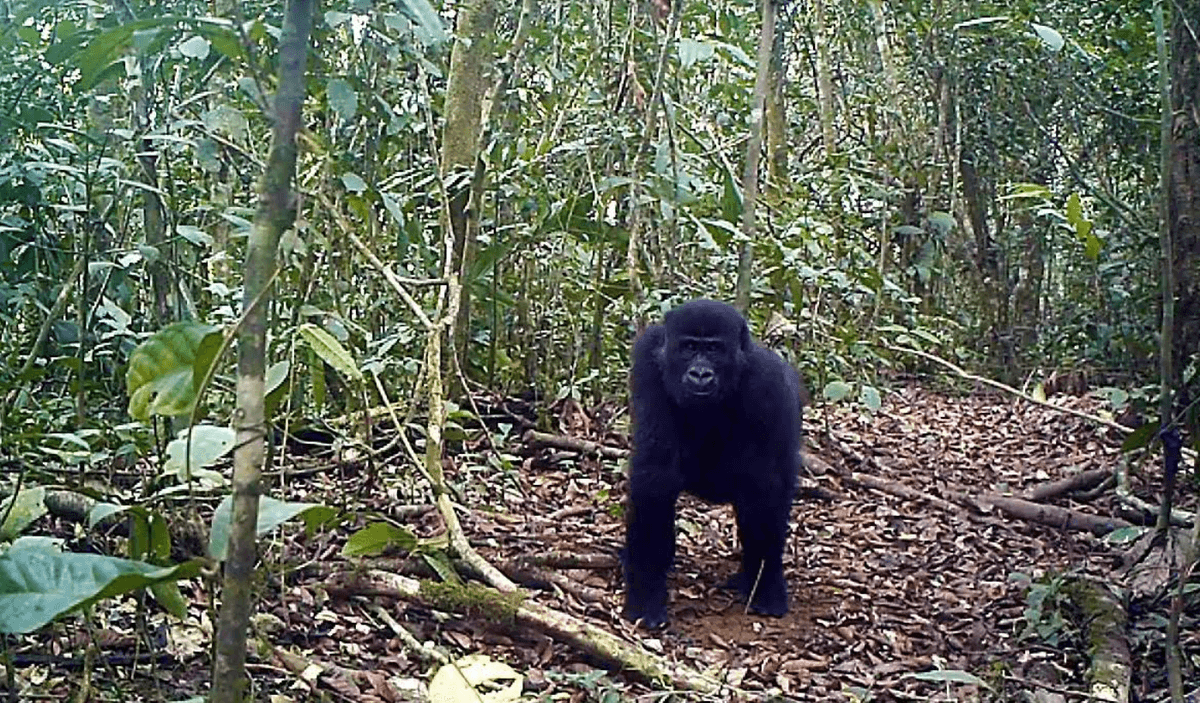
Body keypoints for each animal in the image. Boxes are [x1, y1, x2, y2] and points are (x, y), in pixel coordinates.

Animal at [619, 298, 806, 628]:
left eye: (715, 349)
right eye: (689, 347)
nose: (700, 374)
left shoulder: (768, 384)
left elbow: (763, 487)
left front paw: (766, 586)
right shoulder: (647, 362)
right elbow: (655, 473)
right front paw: (645, 591)